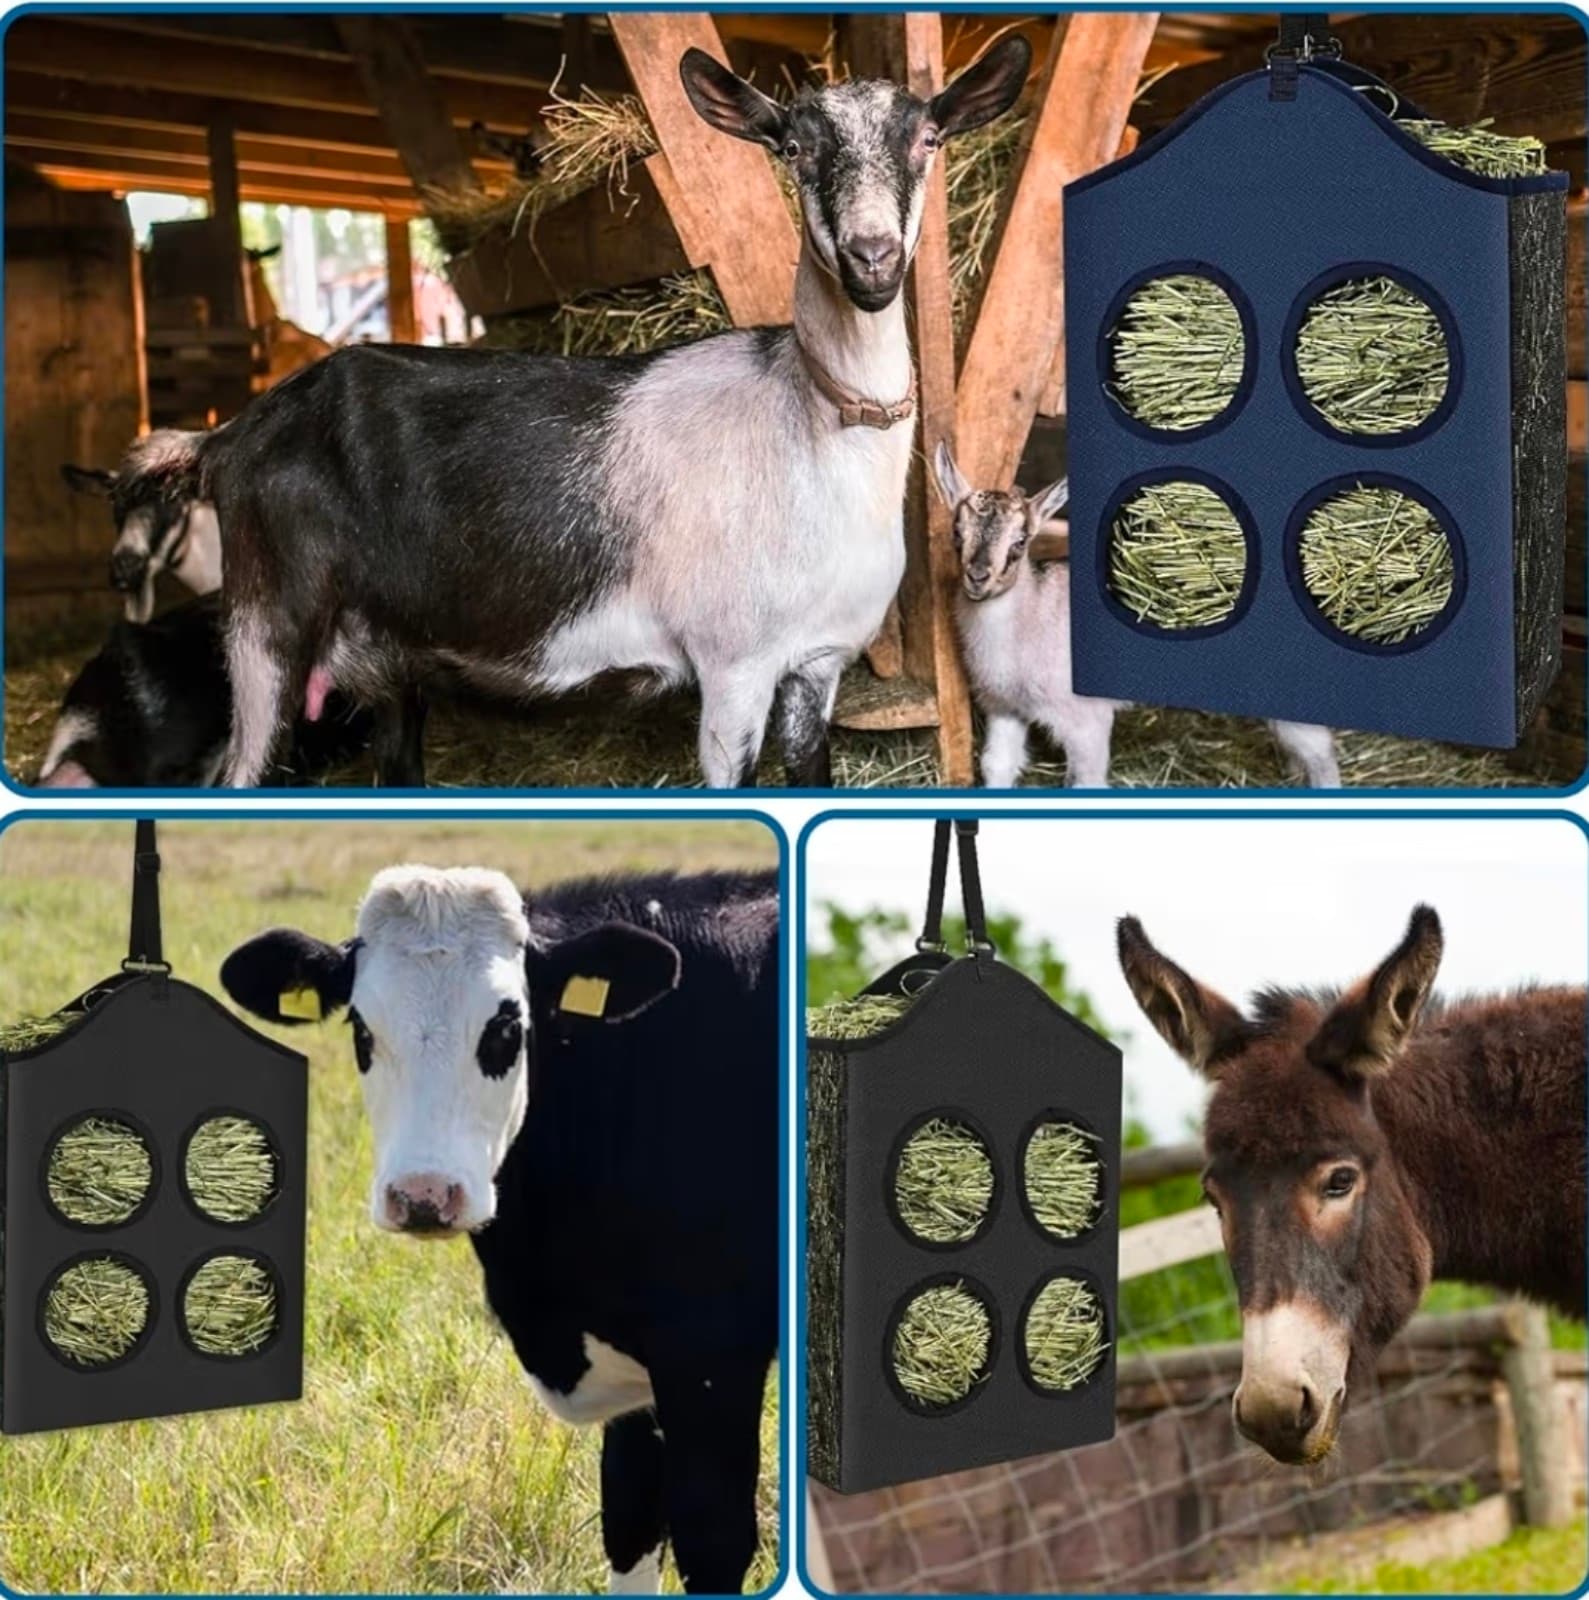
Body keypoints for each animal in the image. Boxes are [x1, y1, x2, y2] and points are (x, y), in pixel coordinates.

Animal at [122, 41, 1031, 788]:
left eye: (928, 141)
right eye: (794, 149)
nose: (872, 259)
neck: (810, 424)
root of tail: (228, 437)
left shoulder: (817, 662)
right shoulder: (733, 667)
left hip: (386, 653)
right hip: (265, 628)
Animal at [931, 444, 1341, 789]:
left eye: (1019, 542)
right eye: (956, 533)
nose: (978, 577)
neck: (1030, 616)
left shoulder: (1084, 719)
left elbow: (1084, 782)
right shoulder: (1005, 707)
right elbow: (998, 765)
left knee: (1321, 753)